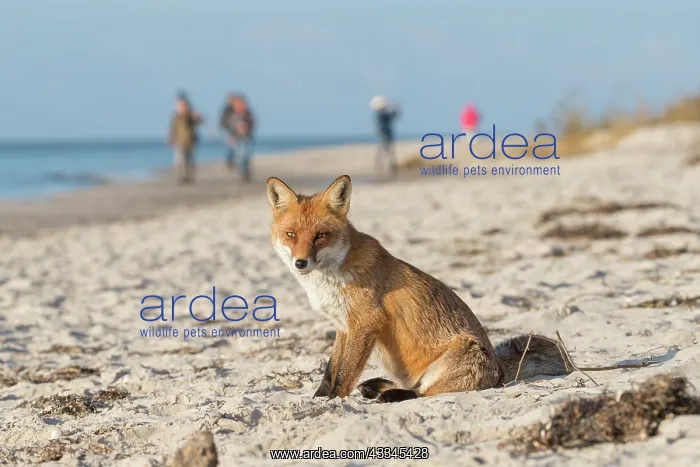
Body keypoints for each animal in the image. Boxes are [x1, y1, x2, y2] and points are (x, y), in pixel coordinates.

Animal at [266, 174, 568, 403]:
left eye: (321, 236)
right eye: (291, 235)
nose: (300, 262)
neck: (327, 281)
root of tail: (500, 372)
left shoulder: (366, 322)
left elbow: (344, 374)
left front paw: (332, 402)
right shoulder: (343, 326)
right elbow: (331, 370)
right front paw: (319, 398)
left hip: (456, 356)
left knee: (425, 392)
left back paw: (390, 395)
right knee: (415, 386)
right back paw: (376, 387)